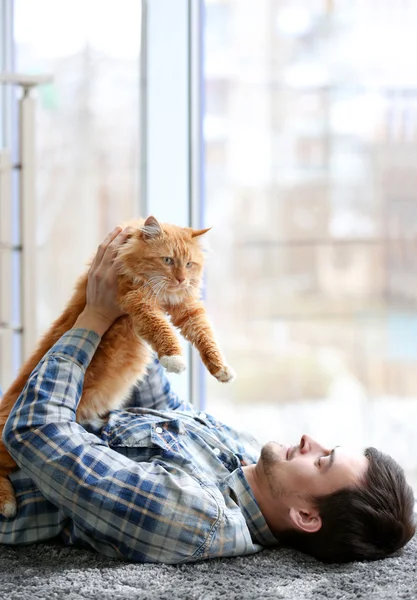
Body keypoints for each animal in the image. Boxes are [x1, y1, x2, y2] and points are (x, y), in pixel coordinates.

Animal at [0, 218, 234, 516]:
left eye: (189, 264)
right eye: (168, 260)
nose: (181, 279)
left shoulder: (187, 307)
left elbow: (205, 336)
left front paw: (221, 369)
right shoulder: (138, 299)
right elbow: (162, 329)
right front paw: (174, 358)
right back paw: (7, 503)